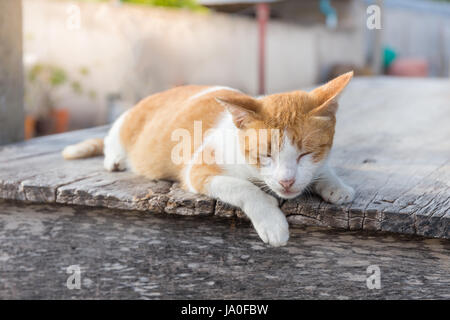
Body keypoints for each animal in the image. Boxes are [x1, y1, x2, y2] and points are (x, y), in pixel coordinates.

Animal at [62, 71, 356, 246]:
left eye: (306, 153)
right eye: (265, 155)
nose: (286, 181)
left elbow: (322, 169)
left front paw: (335, 185)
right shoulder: (198, 170)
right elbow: (244, 188)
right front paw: (272, 221)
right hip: (126, 122)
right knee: (112, 138)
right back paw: (114, 156)